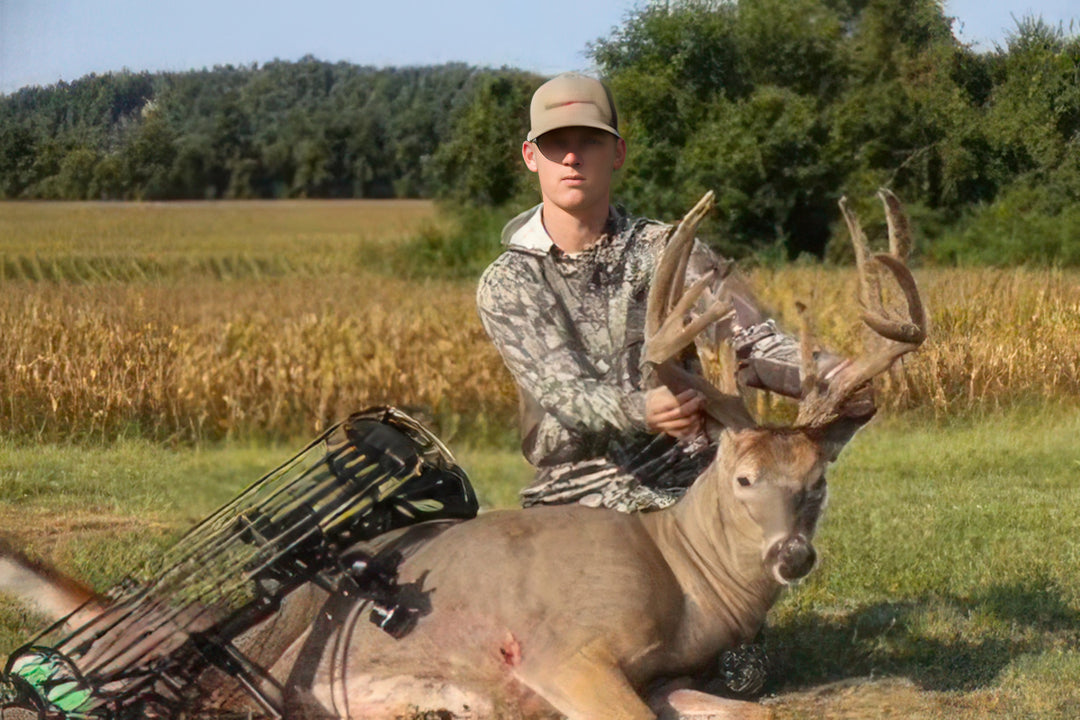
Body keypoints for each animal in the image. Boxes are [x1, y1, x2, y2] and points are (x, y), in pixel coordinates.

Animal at [0, 190, 925, 720]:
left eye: (819, 481)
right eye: (741, 478)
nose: (792, 556)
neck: (685, 581)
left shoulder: (665, 672)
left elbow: (755, 712)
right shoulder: (565, 649)